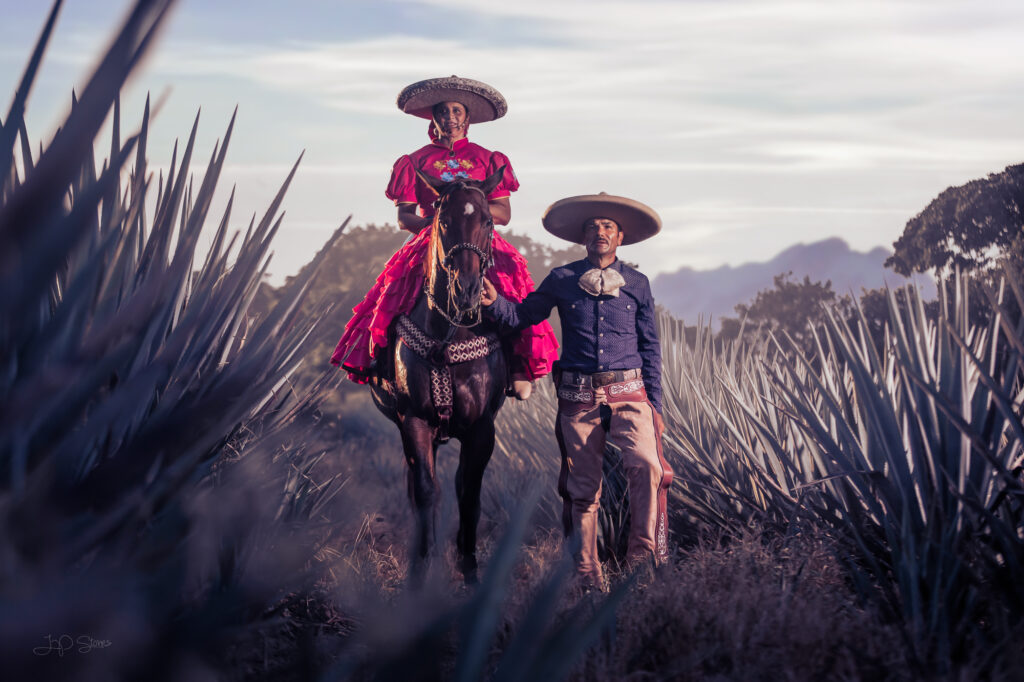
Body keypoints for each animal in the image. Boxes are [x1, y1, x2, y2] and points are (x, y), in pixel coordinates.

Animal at [370, 165, 509, 585]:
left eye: (488, 221)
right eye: (443, 220)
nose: (467, 291)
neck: (452, 332)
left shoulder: (482, 427)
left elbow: (470, 494)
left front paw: (470, 571)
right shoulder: (413, 420)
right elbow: (427, 491)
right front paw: (421, 572)